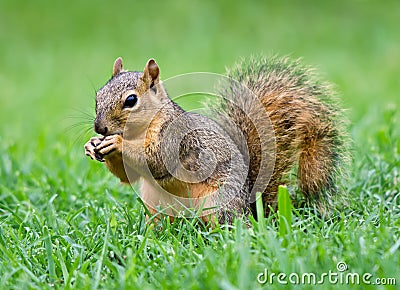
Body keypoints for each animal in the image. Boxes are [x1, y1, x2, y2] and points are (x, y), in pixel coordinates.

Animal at [84, 55, 346, 224]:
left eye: (131, 100)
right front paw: (92, 145)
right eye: (97, 96)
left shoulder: (174, 135)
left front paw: (116, 143)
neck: (137, 133)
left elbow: (156, 160)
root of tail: (251, 210)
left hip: (218, 201)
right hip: (155, 204)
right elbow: (129, 175)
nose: (99, 127)